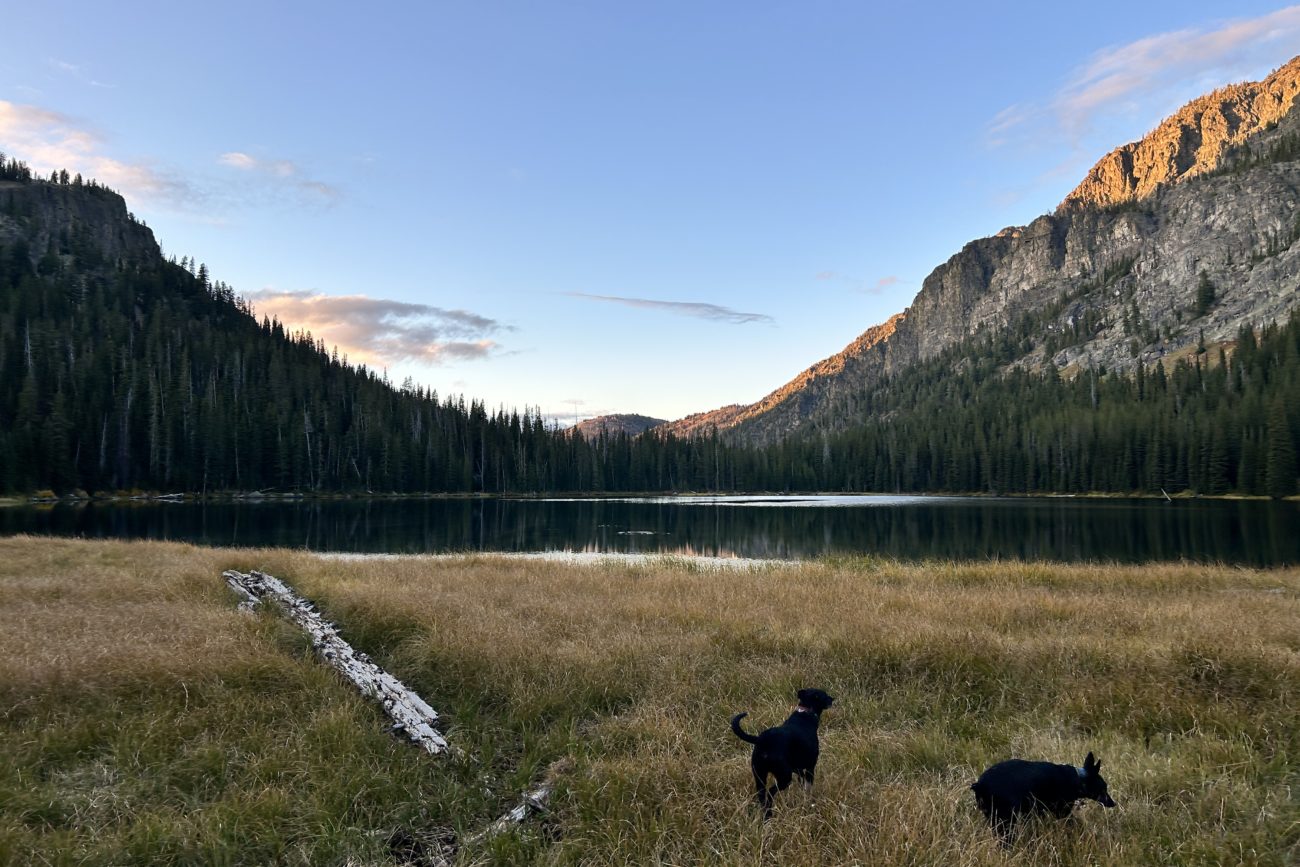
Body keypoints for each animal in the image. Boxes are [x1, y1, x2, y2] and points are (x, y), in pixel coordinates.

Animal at [731, 688, 834, 817]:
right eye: (824, 695)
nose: (832, 699)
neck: (805, 713)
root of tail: (761, 740)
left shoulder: (798, 769)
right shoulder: (810, 767)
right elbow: (808, 788)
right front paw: (809, 802)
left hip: (759, 776)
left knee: (762, 795)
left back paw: (766, 816)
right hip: (784, 776)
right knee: (770, 792)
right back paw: (769, 813)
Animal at [971, 751, 1116, 837]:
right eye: (1104, 788)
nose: (1113, 803)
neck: (1078, 778)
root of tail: (979, 785)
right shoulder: (1062, 811)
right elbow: (1073, 822)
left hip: (994, 817)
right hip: (1006, 819)